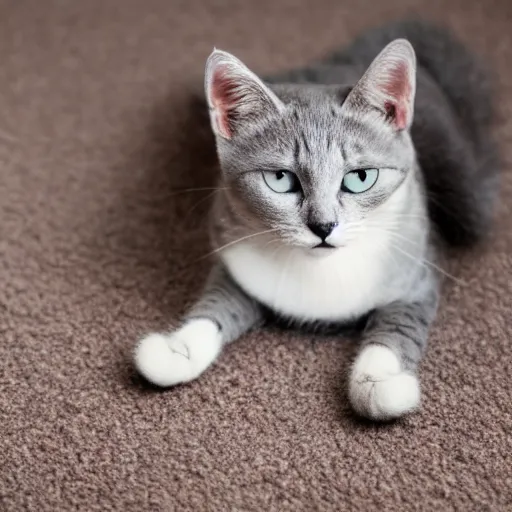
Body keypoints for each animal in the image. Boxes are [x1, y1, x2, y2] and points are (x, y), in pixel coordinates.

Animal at [134, 19, 498, 420]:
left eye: (360, 177)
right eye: (281, 179)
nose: (323, 227)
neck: (320, 270)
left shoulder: (419, 272)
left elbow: (400, 323)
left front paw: (379, 379)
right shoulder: (235, 262)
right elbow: (216, 303)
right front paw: (177, 349)